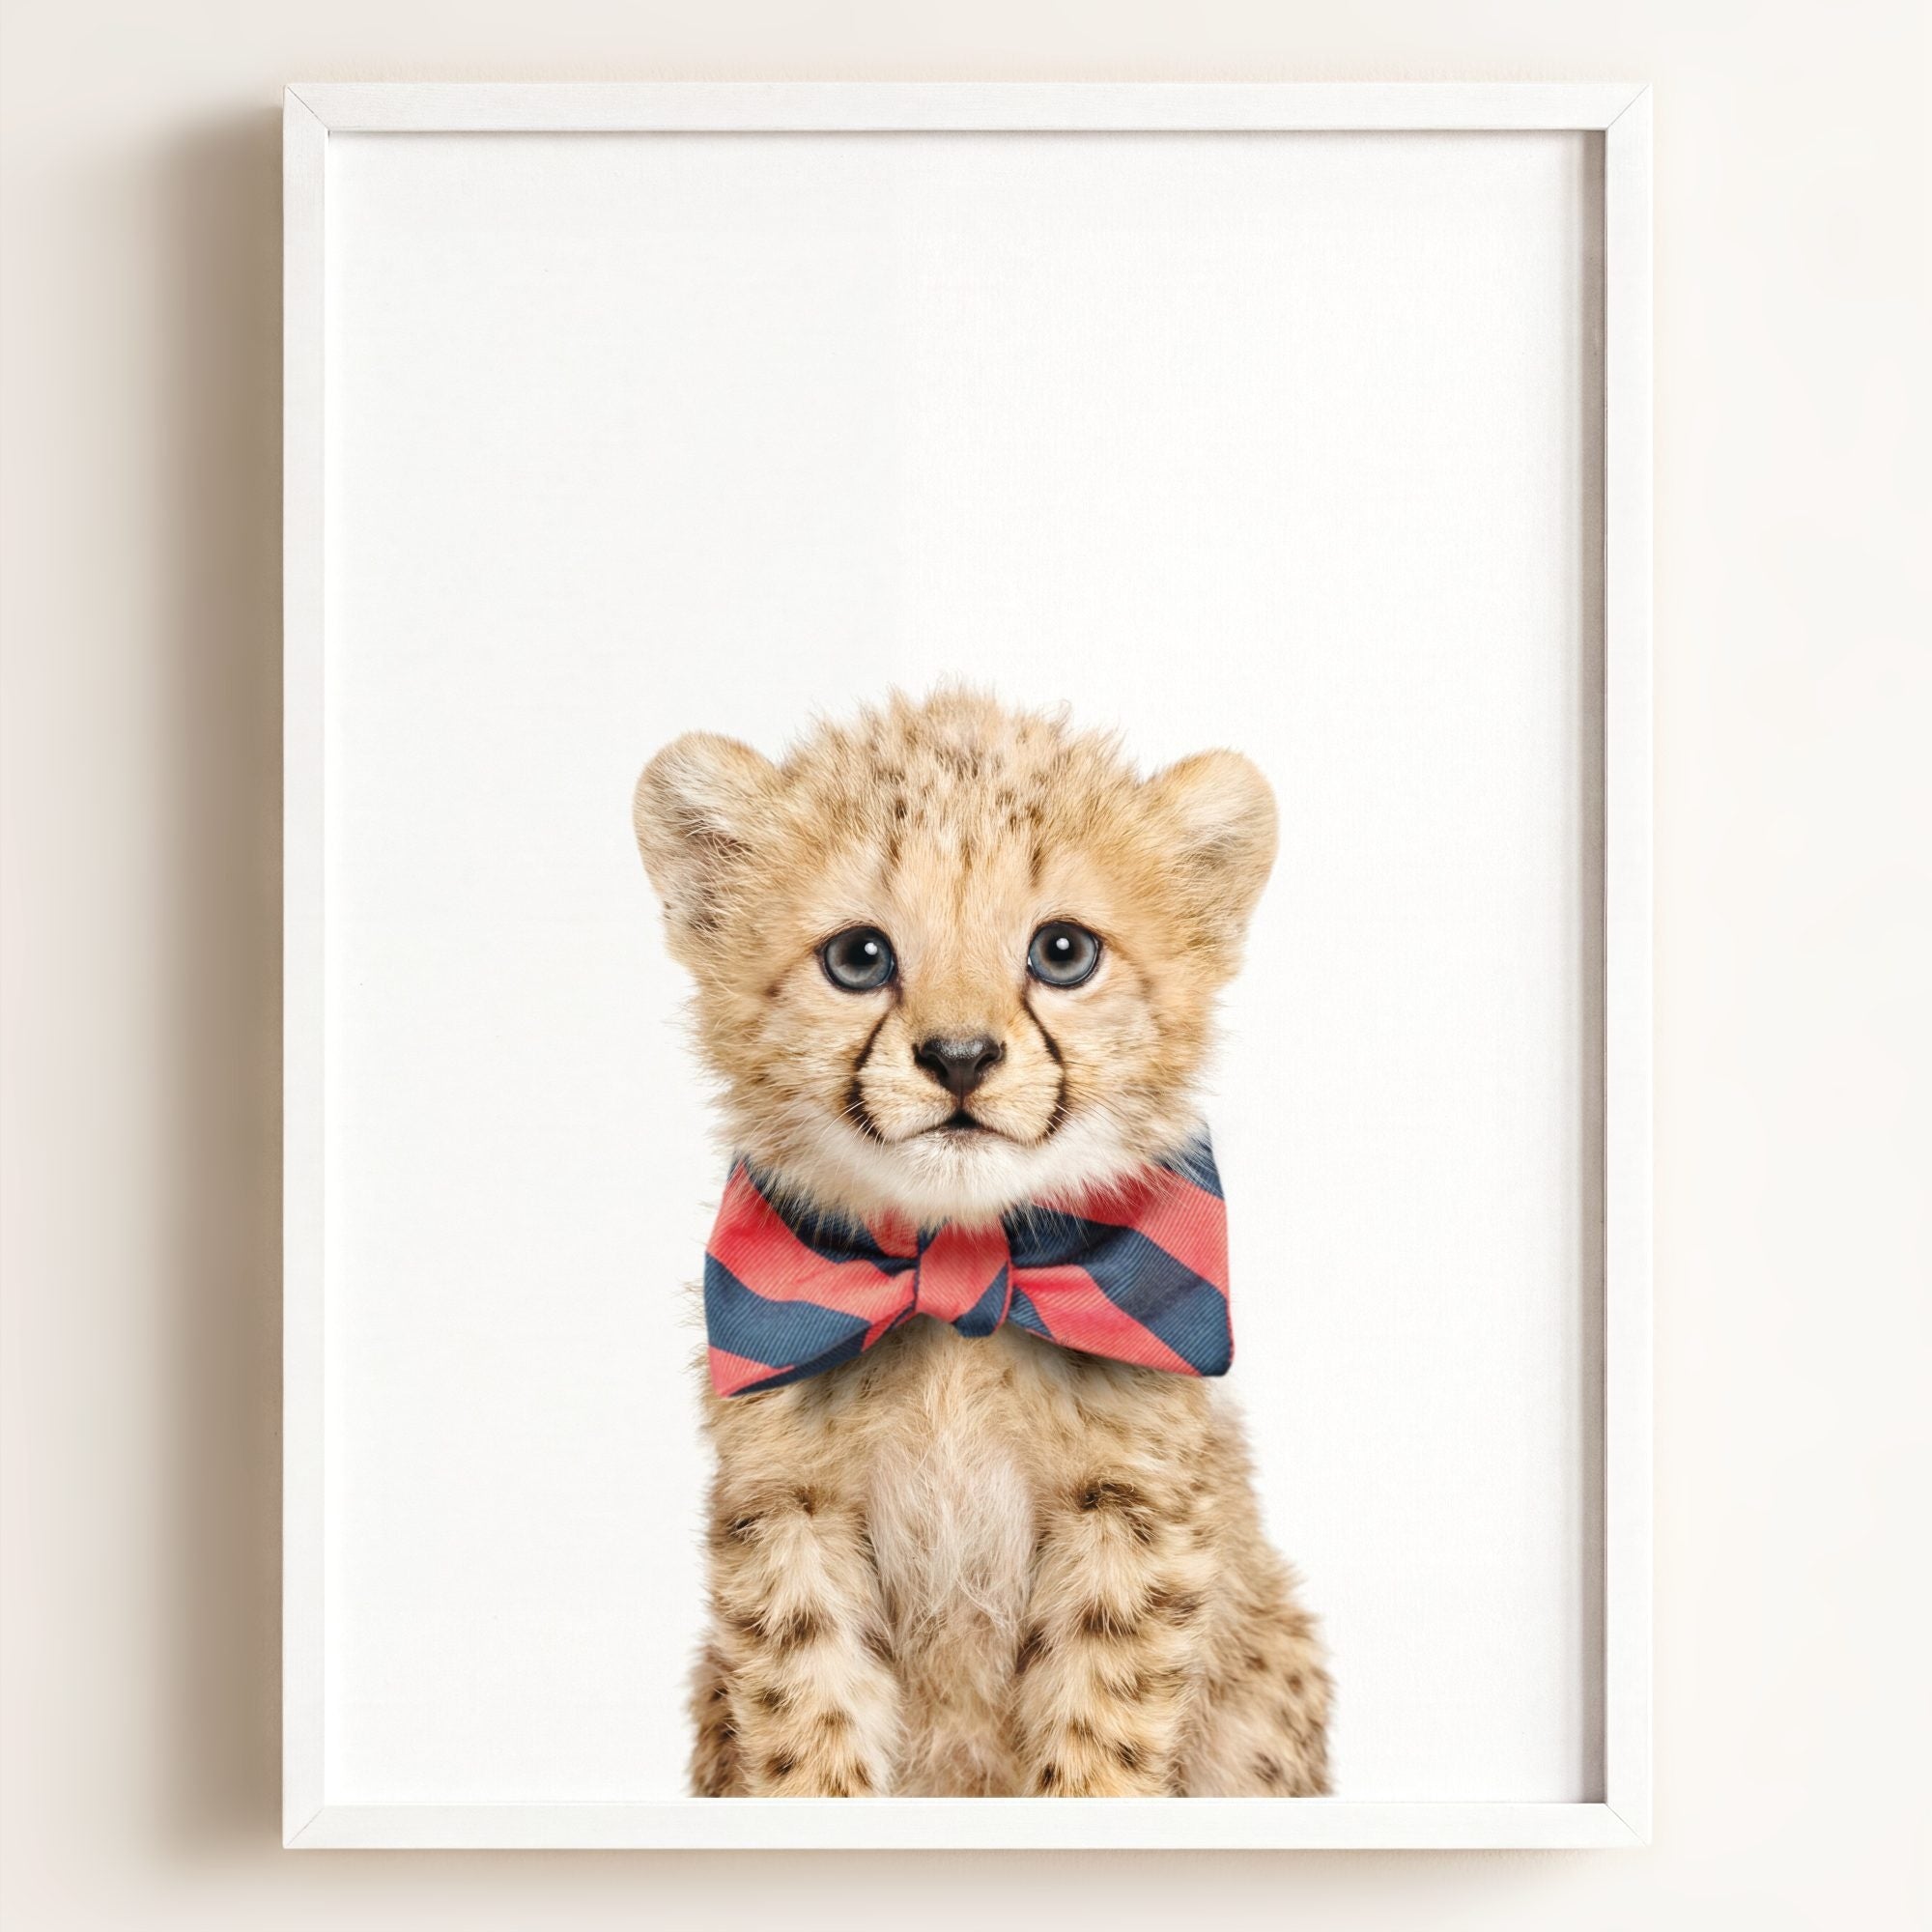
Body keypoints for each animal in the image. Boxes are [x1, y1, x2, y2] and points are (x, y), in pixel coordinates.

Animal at [632, 687, 1330, 1797]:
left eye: (1063, 952)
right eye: (859, 957)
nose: (959, 1057)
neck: (960, 1269)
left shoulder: (1129, 1512)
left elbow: (1101, 1727)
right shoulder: (788, 1511)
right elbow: (805, 1719)